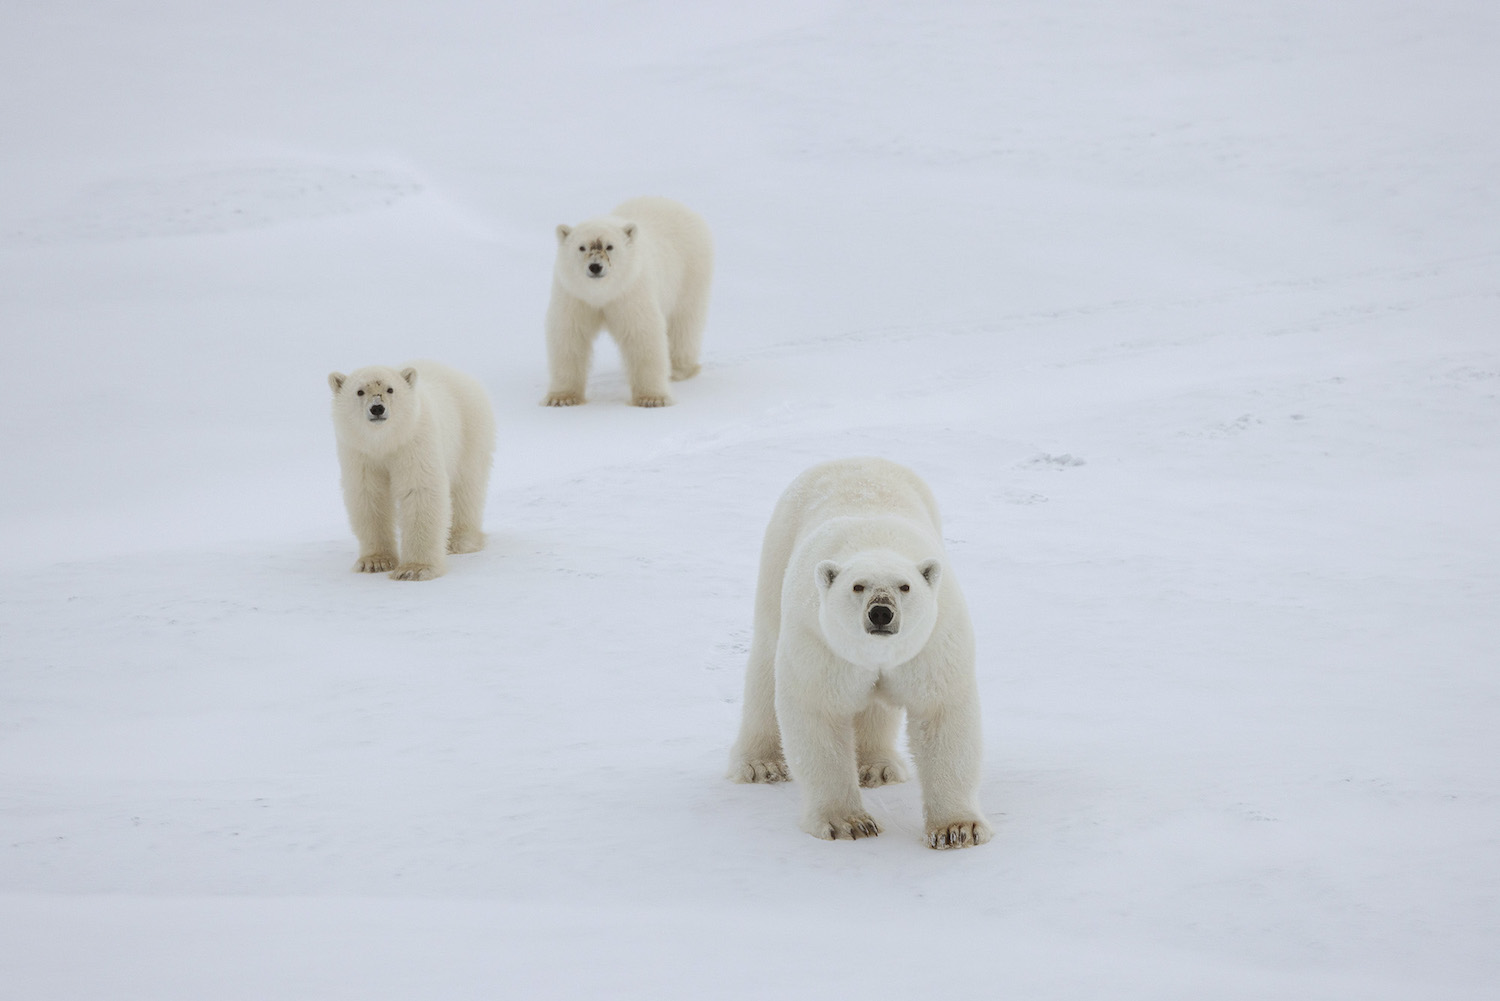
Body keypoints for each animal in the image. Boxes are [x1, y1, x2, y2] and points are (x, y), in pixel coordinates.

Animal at [325, 361, 495, 582]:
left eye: (390, 389)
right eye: (360, 391)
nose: (377, 408)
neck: (386, 442)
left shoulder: (414, 442)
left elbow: (419, 491)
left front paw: (414, 569)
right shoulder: (360, 453)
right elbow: (369, 496)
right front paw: (375, 562)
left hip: (470, 432)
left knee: (467, 487)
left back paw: (459, 540)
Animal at [546, 195, 714, 408]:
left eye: (609, 246)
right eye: (581, 247)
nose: (595, 266)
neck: (603, 293)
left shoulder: (631, 291)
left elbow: (641, 334)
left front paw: (652, 398)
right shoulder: (575, 295)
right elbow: (569, 336)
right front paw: (562, 398)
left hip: (691, 272)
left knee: (684, 322)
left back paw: (679, 369)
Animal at [729, 459, 996, 852]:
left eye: (905, 586)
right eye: (857, 587)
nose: (881, 612)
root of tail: (853, 459)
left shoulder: (931, 643)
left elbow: (939, 714)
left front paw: (958, 829)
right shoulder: (821, 643)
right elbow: (819, 714)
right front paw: (849, 823)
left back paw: (876, 767)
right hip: (777, 552)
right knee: (766, 660)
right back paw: (760, 765)